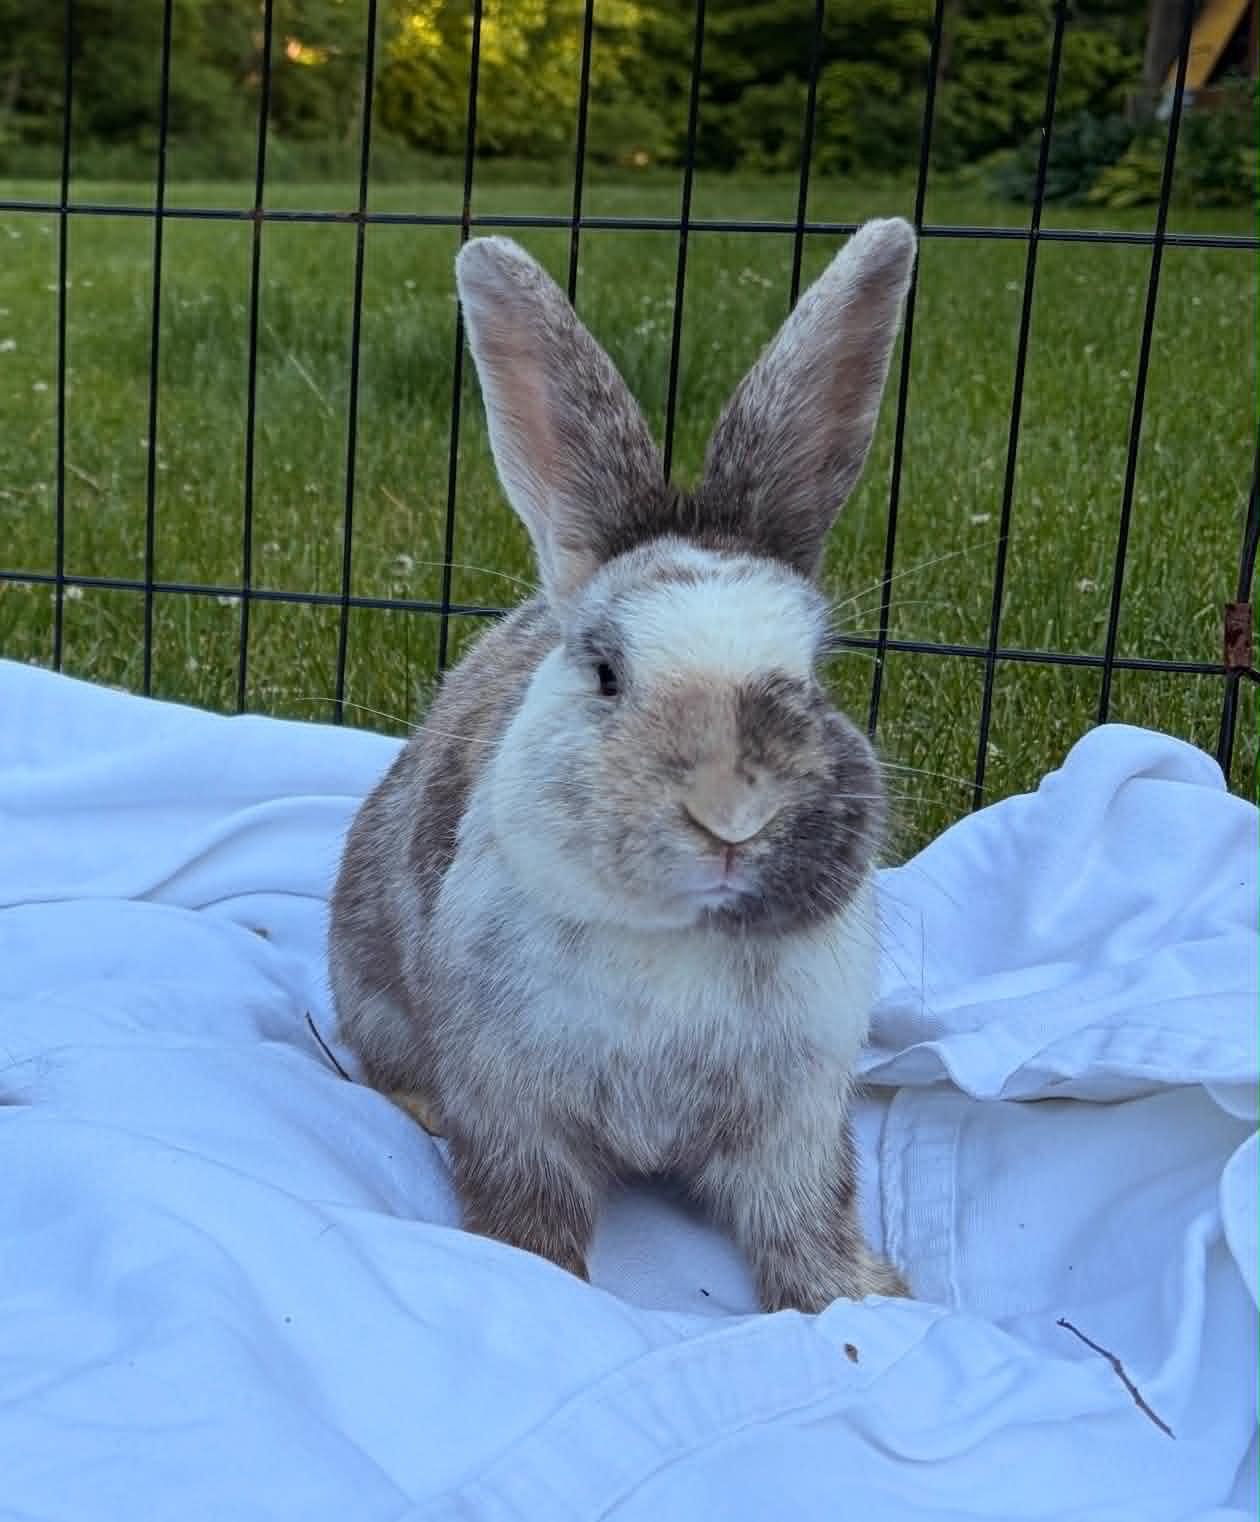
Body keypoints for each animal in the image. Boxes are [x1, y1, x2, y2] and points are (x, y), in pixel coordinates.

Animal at [329, 218, 916, 1313]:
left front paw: (867, 1301)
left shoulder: (798, 1119)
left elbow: (808, 1216)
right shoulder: (513, 1105)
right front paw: (540, 1278)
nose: (732, 813)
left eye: (815, 671)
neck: (673, 941)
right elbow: (529, 1210)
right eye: (605, 672)